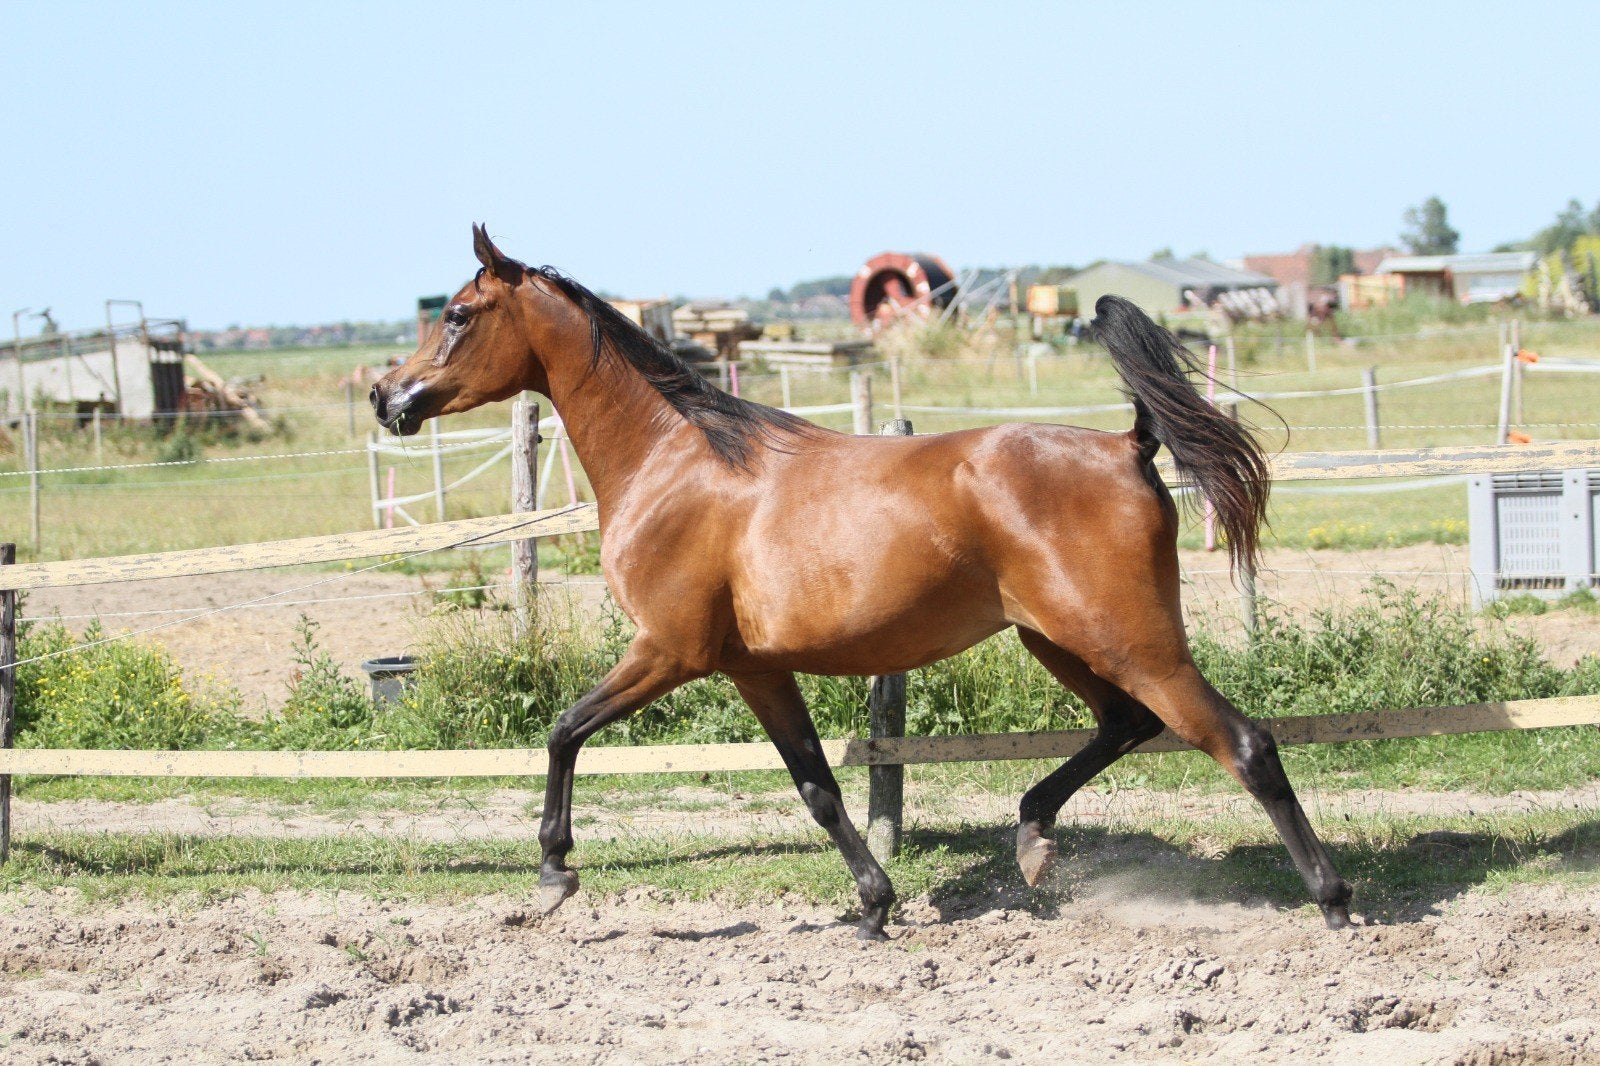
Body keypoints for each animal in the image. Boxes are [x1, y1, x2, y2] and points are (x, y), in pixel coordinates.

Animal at [370, 225, 1353, 940]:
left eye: (456, 313)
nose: (387, 398)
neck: (676, 461)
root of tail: (1128, 444)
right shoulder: (754, 668)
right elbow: (818, 788)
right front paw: (876, 906)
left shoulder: (669, 651)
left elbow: (562, 731)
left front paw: (553, 873)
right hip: (1062, 639)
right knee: (1127, 725)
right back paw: (1033, 838)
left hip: (1128, 639)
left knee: (1243, 744)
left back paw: (1333, 900)